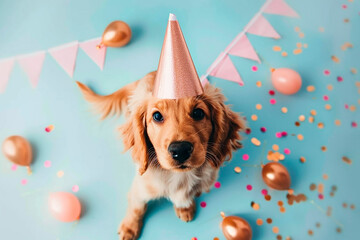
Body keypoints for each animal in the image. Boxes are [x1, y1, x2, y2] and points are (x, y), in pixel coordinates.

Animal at [76, 71, 245, 240]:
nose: (180, 150)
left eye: (198, 113)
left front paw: (185, 208)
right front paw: (129, 227)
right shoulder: (139, 189)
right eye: (157, 116)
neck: (179, 177)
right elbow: (137, 208)